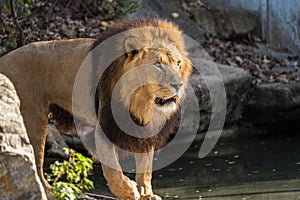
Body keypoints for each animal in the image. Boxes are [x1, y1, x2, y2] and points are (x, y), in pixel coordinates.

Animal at [0, 18, 192, 199]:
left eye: (178, 63)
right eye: (157, 65)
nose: (178, 85)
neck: (140, 103)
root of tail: (3, 60)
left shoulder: (145, 132)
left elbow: (145, 170)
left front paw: (146, 194)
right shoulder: (104, 128)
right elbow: (113, 170)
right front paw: (129, 192)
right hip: (33, 121)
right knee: (35, 165)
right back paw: (49, 193)